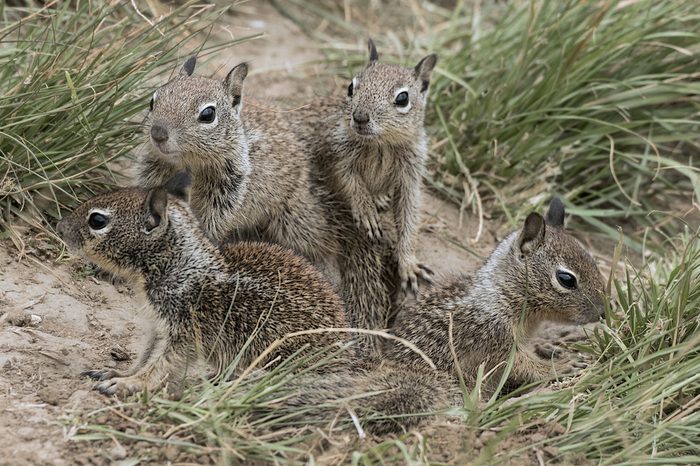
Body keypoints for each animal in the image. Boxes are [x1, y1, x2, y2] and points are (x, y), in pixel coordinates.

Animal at [55, 177, 350, 396]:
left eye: (97, 220)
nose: (59, 226)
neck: (180, 264)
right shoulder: (157, 325)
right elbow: (146, 355)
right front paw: (121, 372)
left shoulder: (187, 329)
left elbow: (162, 364)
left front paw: (129, 383)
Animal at [290, 198, 608, 436]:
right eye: (566, 279)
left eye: (594, 262)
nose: (604, 311)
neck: (503, 294)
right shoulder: (496, 340)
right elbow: (525, 365)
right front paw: (562, 365)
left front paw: (549, 348)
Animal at [294, 40, 438, 294]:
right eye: (351, 87)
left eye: (403, 99)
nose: (359, 117)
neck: (381, 144)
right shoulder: (335, 157)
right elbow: (350, 184)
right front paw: (366, 211)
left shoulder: (410, 177)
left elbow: (409, 218)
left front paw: (409, 265)